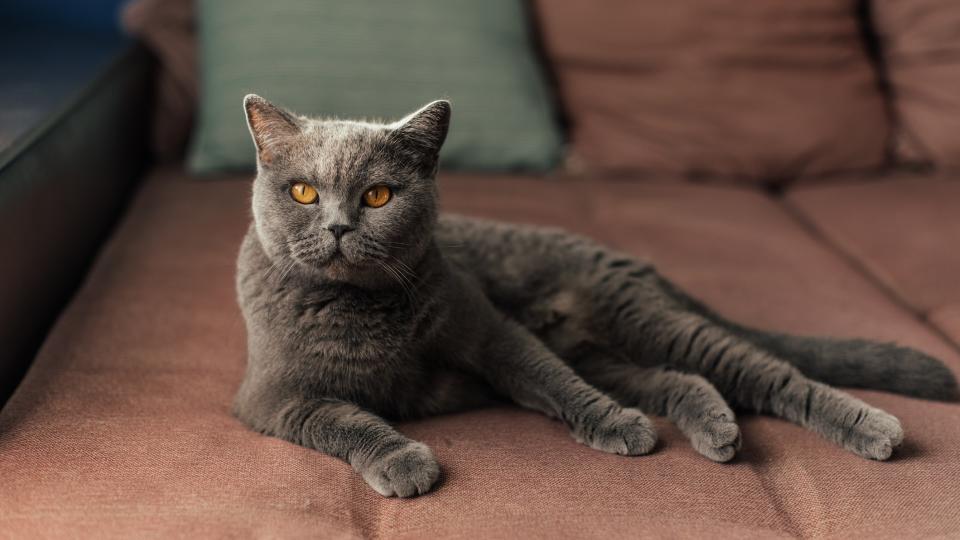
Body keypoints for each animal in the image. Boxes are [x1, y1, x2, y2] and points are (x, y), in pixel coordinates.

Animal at [234, 96, 960, 498]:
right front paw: (404, 460)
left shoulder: (490, 329)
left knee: (766, 371)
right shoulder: (270, 397)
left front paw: (611, 424)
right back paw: (716, 428)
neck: (364, 308)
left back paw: (873, 427)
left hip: (640, 319)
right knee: (682, 379)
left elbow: (546, 376)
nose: (338, 226)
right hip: (606, 350)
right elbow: (343, 419)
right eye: (304, 192)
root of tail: (630, 260)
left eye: (379, 195)